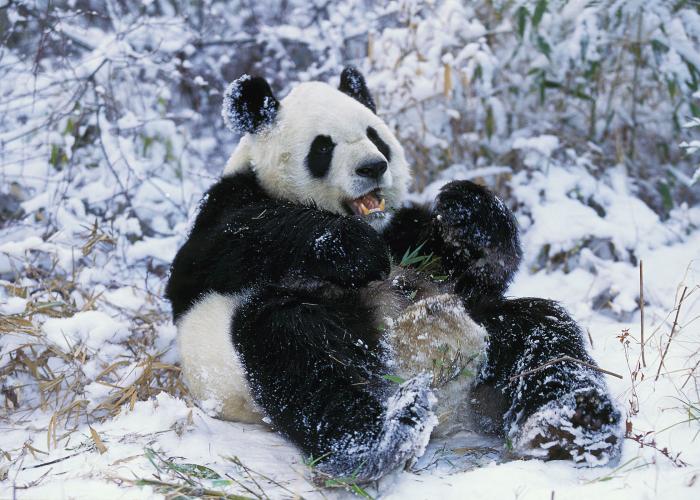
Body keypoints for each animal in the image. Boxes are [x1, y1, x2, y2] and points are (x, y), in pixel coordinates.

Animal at [165, 67, 622, 482]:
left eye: (375, 135)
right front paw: (350, 248)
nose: (373, 167)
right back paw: (384, 438)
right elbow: (225, 245)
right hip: (247, 356)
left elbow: (472, 271)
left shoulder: (404, 232)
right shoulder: (224, 210)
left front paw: (467, 212)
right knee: (302, 354)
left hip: (493, 333)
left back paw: (573, 423)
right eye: (323, 146)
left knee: (543, 332)